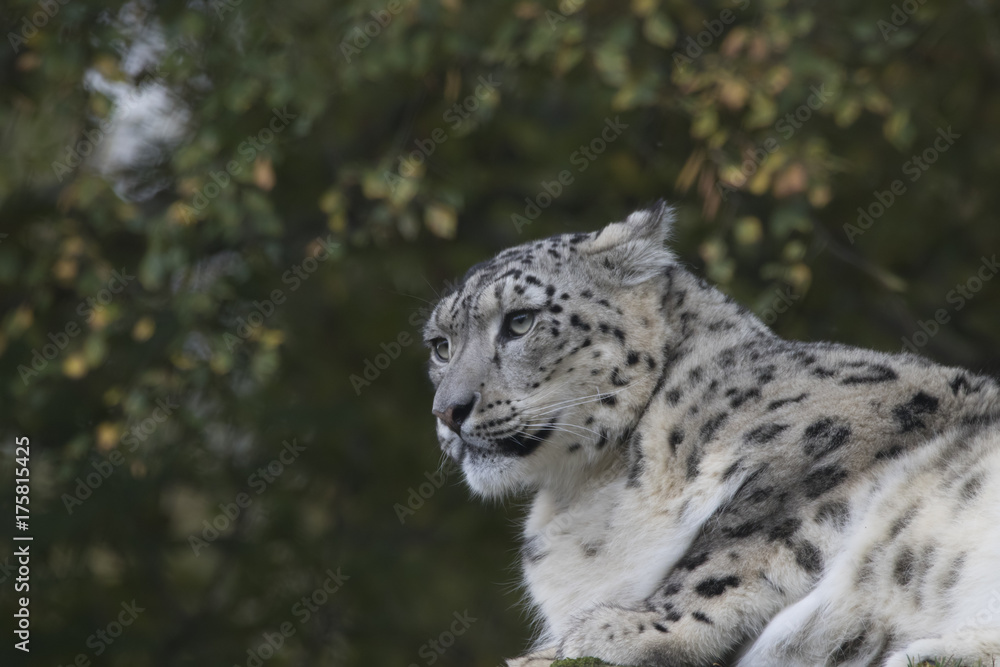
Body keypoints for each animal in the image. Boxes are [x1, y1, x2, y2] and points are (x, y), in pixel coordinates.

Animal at [422, 201, 1000, 667]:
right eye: (440, 346)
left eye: (520, 321)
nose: (448, 411)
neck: (585, 489)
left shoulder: (832, 434)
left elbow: (731, 546)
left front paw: (610, 631)